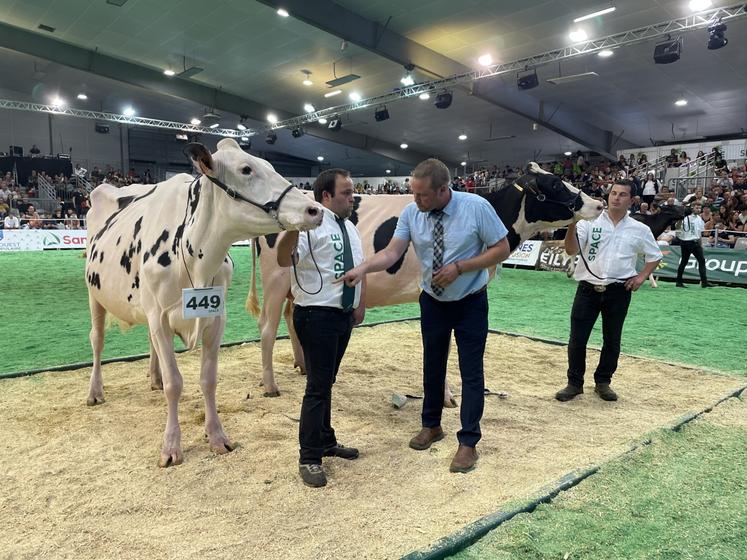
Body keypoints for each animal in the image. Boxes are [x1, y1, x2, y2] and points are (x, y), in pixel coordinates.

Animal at [85, 140, 324, 468]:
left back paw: (153, 378)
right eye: (246, 169)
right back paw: (95, 391)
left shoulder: (216, 317)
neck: (192, 251)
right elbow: (175, 383)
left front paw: (217, 436)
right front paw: (171, 446)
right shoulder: (160, 317)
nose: (315, 209)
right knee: (97, 339)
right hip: (94, 292)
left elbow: (208, 379)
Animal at [245, 162, 600, 402]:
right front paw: (445, 397)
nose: (597, 203)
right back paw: (271, 385)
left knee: (292, 317)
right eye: (555, 184)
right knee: (267, 327)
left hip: (293, 286)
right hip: (275, 279)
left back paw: (303, 365)